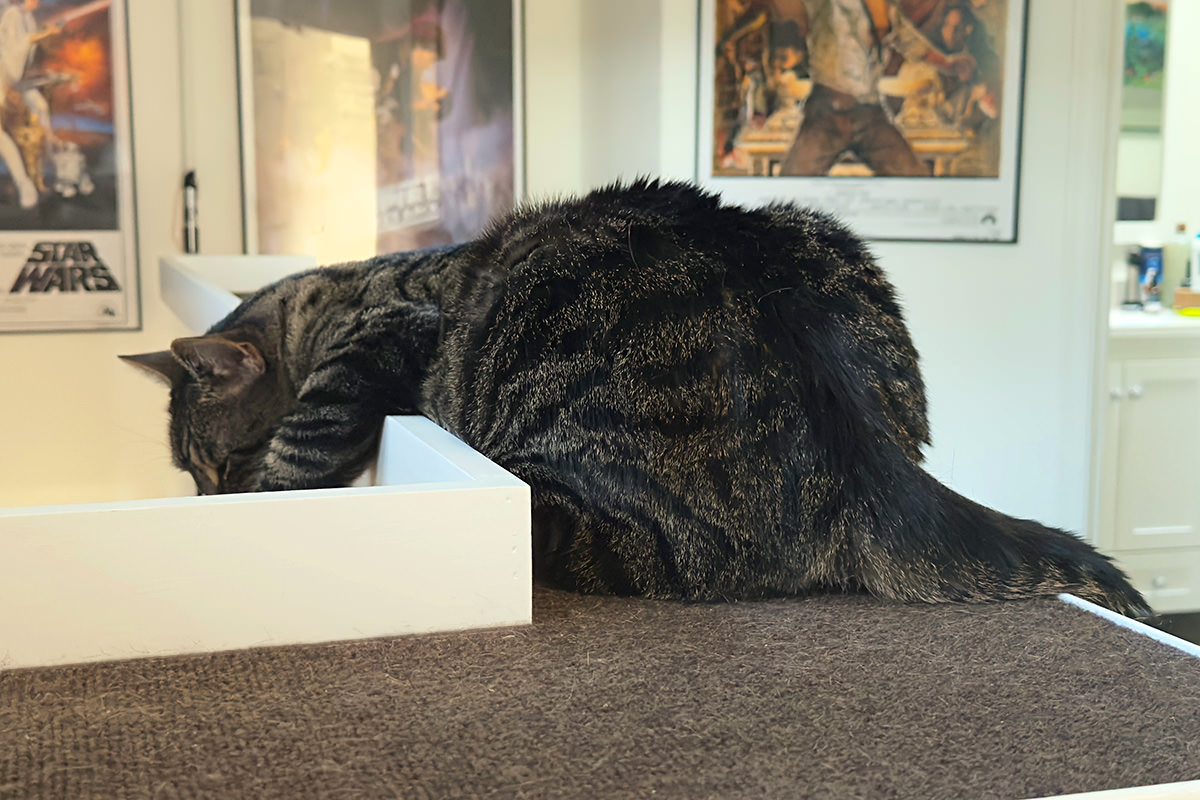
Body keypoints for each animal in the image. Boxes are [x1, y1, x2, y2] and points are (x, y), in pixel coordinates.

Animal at [126, 179, 1147, 618]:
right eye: (194, 472)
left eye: (219, 463)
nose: (207, 497)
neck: (330, 297)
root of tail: (871, 464)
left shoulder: (384, 332)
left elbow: (306, 437)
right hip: (828, 241)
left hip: (575, 506)